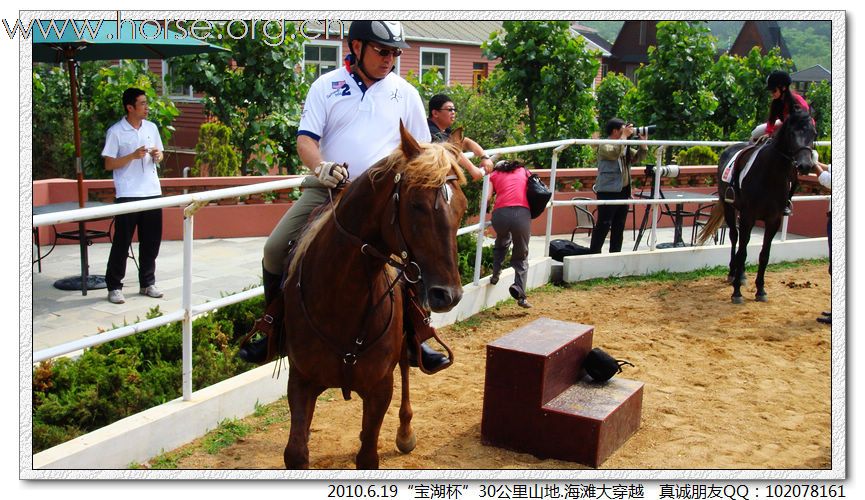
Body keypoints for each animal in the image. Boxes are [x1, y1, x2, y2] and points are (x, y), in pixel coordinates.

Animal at [280, 122, 470, 468]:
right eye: (416, 205)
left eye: (462, 207)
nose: (447, 295)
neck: (342, 300)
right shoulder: (300, 381)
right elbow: (296, 452)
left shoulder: (380, 388)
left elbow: (368, 454)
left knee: (407, 367)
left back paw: (405, 432)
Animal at [696, 109, 816, 302]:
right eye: (792, 133)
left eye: (814, 134)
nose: (805, 165)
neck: (771, 175)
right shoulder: (747, 216)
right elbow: (742, 250)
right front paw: (737, 292)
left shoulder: (773, 220)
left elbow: (764, 254)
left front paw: (760, 289)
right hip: (730, 208)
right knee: (735, 238)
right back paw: (733, 273)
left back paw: (742, 274)